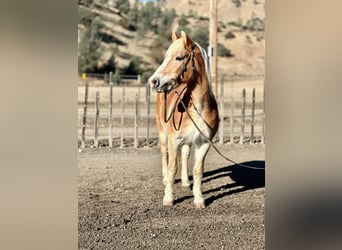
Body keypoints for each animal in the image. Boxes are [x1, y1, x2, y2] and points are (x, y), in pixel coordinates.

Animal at [149, 31, 219, 209]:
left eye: (179, 58)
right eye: (166, 57)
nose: (153, 81)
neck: (198, 108)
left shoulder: (204, 143)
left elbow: (198, 170)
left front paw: (199, 199)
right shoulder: (174, 140)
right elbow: (172, 167)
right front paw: (168, 199)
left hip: (187, 141)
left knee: (185, 155)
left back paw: (186, 182)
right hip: (163, 135)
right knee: (164, 155)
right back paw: (165, 179)